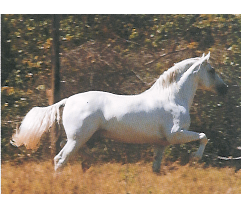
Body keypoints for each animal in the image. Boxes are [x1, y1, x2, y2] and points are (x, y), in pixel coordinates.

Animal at [11, 52, 228, 172]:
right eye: (212, 70)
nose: (225, 89)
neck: (173, 98)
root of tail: (68, 100)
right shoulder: (176, 135)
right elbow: (203, 136)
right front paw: (195, 158)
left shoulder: (161, 143)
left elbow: (156, 167)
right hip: (77, 139)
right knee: (60, 160)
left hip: (82, 139)